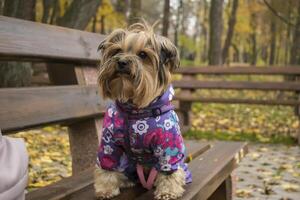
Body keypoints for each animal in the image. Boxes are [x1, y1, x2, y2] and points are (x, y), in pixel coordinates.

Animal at [94, 21, 192, 199]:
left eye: (143, 54)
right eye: (117, 51)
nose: (122, 62)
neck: (135, 110)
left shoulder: (168, 145)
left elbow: (169, 172)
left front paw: (167, 192)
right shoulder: (109, 142)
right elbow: (107, 165)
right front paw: (105, 189)